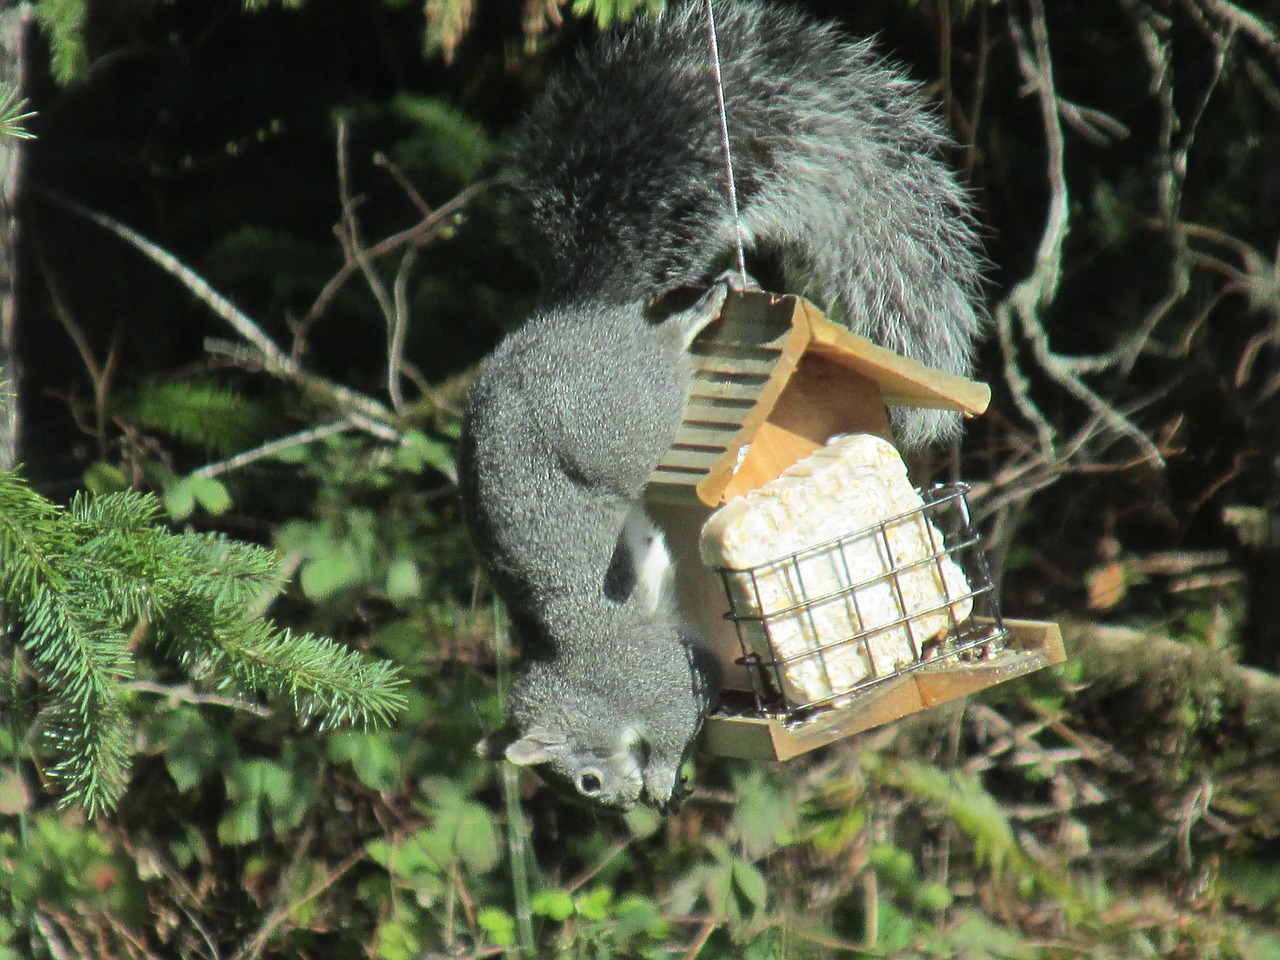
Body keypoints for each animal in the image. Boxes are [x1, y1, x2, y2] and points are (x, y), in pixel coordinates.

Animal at [455, 0, 983, 814]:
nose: (624, 806)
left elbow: (679, 711)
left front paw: (666, 774)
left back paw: (692, 319)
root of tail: (574, 310)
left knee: (659, 359)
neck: (583, 675)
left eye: (585, 780)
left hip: (627, 409)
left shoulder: (655, 673)